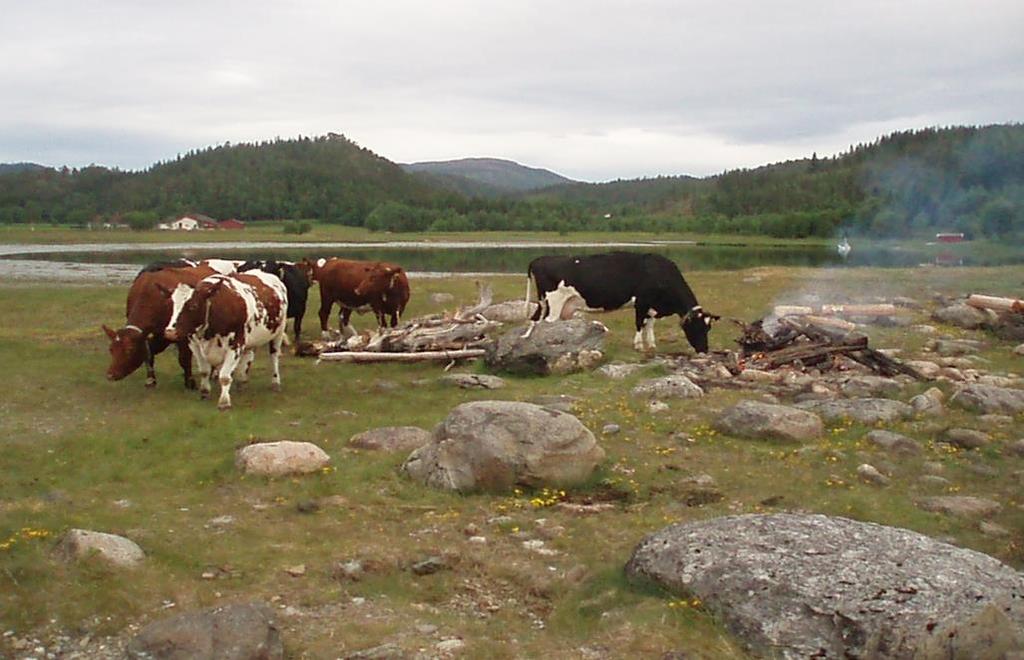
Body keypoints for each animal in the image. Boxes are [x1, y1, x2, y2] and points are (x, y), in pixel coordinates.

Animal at [163, 270, 286, 409]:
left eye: (193, 306)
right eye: (172, 305)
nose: (170, 332)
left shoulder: (236, 344)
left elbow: (225, 376)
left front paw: (224, 401)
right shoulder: (194, 344)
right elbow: (204, 371)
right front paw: (204, 392)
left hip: (279, 331)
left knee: (274, 356)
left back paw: (275, 382)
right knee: (248, 355)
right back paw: (242, 381)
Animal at [524, 252, 716, 352]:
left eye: (708, 328)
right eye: (698, 327)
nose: (704, 350)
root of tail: (539, 259)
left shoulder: (652, 306)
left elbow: (650, 325)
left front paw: (652, 345)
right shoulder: (642, 302)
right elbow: (639, 324)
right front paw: (639, 346)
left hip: (546, 303)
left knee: (535, 320)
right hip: (554, 304)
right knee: (545, 323)